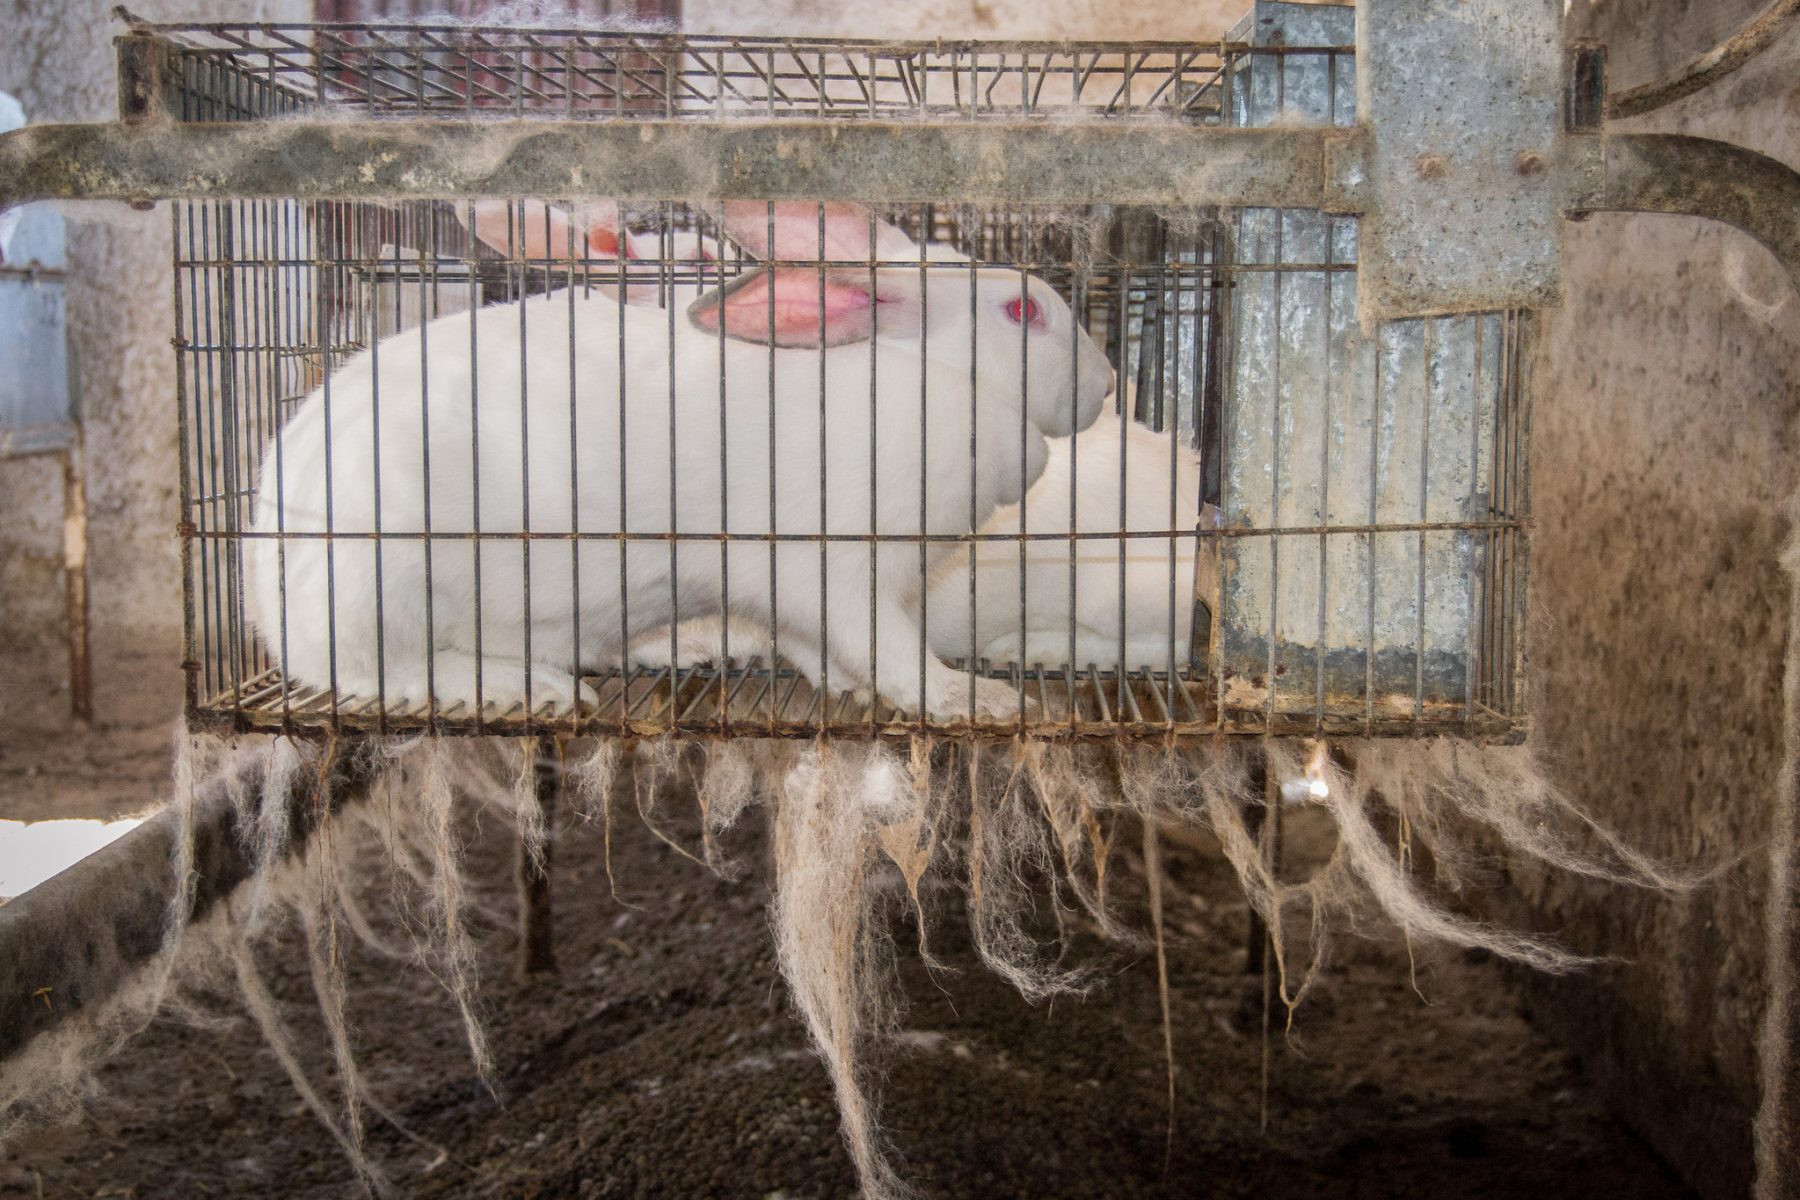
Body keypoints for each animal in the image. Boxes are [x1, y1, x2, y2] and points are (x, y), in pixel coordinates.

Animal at [247, 200, 1113, 719]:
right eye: (1023, 311)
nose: (1106, 385)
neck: (939, 380)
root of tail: (262, 571)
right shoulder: (836, 574)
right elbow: (892, 650)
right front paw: (974, 698)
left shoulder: (784, 595)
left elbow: (814, 647)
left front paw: (845, 685)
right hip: (381, 585)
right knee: (373, 670)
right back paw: (526, 686)